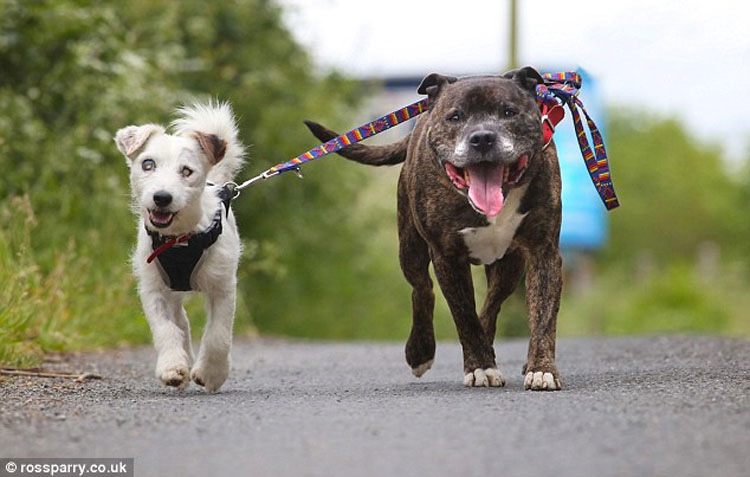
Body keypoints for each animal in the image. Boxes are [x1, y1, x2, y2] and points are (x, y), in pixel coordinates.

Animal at [114, 101, 245, 390]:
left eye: (186, 171)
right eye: (147, 164)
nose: (162, 197)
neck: (179, 240)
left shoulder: (223, 286)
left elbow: (218, 335)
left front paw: (212, 373)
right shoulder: (153, 289)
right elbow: (166, 330)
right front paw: (173, 367)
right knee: (181, 324)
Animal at [306, 67, 564, 388]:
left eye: (509, 112)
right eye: (455, 116)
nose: (482, 138)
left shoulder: (543, 252)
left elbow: (543, 315)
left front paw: (541, 368)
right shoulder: (447, 257)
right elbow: (464, 315)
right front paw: (480, 367)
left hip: (509, 264)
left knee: (491, 303)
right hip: (410, 248)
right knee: (422, 289)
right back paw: (420, 351)